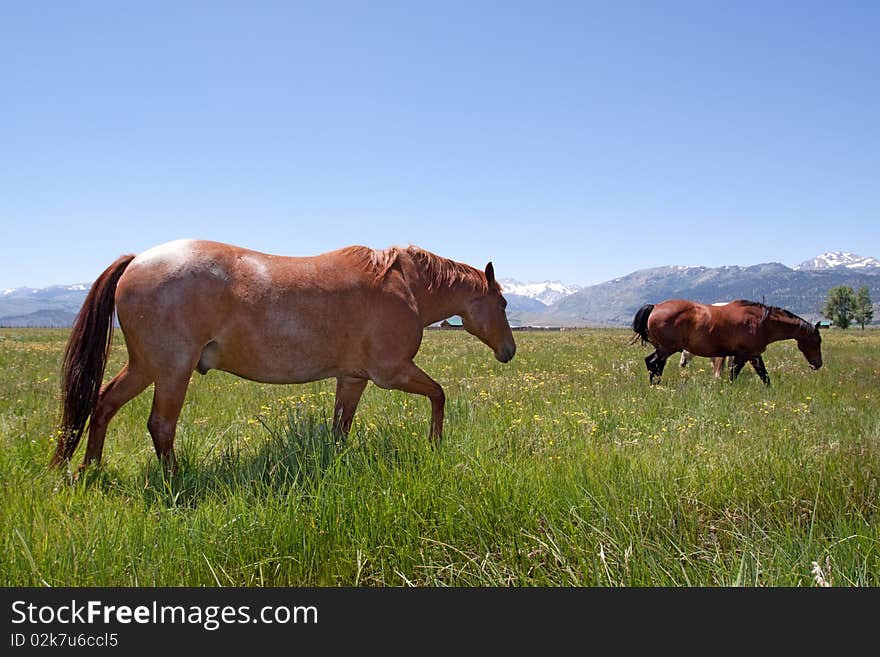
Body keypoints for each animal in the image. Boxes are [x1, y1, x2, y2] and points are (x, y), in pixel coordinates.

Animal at [49, 240, 516, 472]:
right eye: (504, 302)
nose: (509, 351)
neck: (406, 286)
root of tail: (136, 261)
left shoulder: (353, 378)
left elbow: (340, 428)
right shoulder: (392, 372)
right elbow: (439, 395)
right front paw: (435, 443)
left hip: (145, 367)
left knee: (103, 404)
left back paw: (90, 469)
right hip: (171, 371)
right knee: (160, 426)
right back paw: (176, 480)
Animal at [628, 302, 820, 386]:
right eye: (817, 341)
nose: (817, 364)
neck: (761, 322)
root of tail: (654, 306)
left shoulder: (754, 355)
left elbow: (764, 375)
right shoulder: (743, 355)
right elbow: (733, 374)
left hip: (664, 349)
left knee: (655, 364)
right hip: (667, 348)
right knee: (653, 363)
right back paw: (655, 385)